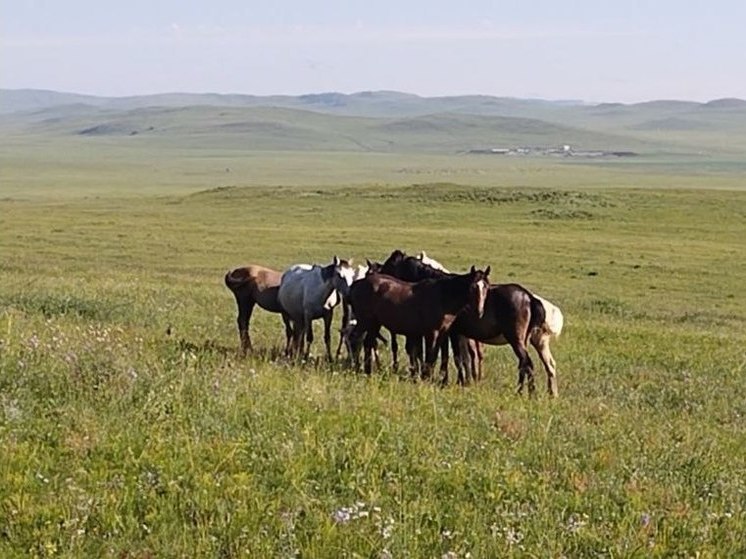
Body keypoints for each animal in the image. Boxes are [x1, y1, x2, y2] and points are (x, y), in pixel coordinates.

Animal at [348, 266, 488, 376]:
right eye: (473, 287)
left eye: (486, 287)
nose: (479, 312)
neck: (443, 297)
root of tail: (357, 284)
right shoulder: (431, 333)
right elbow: (429, 355)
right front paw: (426, 376)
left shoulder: (443, 333)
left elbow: (434, 356)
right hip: (365, 321)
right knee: (356, 340)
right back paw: (357, 368)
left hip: (374, 323)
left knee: (367, 343)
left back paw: (367, 371)